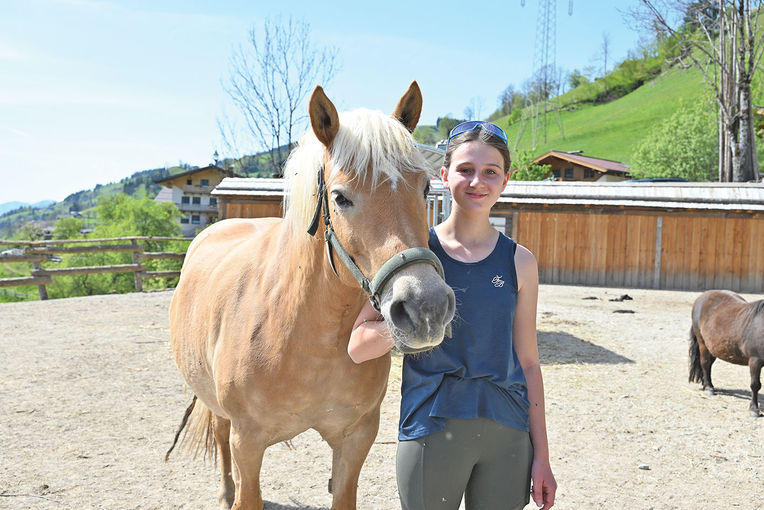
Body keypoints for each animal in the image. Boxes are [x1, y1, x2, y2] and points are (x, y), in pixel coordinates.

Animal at [167, 81, 454, 508]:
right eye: (340, 197)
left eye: (424, 189)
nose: (426, 308)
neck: (302, 332)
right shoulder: (247, 443)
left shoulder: (356, 439)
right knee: (218, 433)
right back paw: (224, 491)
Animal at [692, 288, 764, 416]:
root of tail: (702, 296)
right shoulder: (755, 360)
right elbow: (755, 385)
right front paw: (754, 409)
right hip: (702, 343)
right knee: (705, 363)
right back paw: (709, 388)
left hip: (714, 348)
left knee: (709, 365)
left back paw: (707, 385)